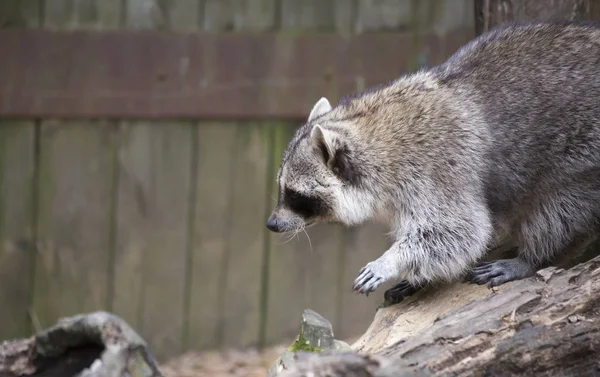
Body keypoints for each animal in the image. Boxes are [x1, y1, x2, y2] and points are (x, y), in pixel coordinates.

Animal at [264, 19, 600, 302]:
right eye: (282, 188)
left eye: (295, 195)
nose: (271, 224)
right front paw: (416, 275)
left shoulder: (440, 168)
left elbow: (460, 231)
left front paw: (392, 260)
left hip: (581, 155)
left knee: (556, 210)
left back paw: (531, 257)